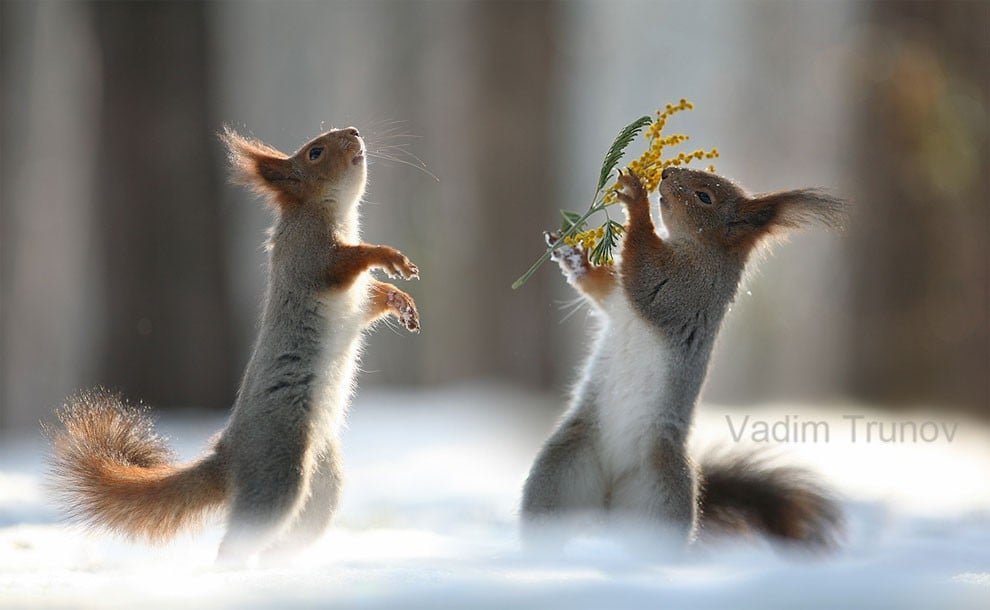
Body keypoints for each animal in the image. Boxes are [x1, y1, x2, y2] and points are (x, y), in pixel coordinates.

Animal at [47, 126, 418, 564]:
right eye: (315, 152)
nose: (355, 132)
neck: (327, 212)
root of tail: (230, 456)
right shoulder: (309, 257)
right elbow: (345, 262)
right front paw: (388, 256)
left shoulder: (352, 295)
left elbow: (372, 300)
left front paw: (402, 302)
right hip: (279, 468)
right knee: (241, 537)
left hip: (324, 481)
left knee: (291, 534)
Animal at [528, 167, 844, 552]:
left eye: (704, 196)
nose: (666, 172)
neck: (697, 248)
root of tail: (610, 496)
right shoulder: (617, 300)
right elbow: (602, 289)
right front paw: (573, 257)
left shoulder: (683, 290)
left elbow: (644, 270)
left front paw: (635, 197)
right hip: (562, 470)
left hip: (660, 491)